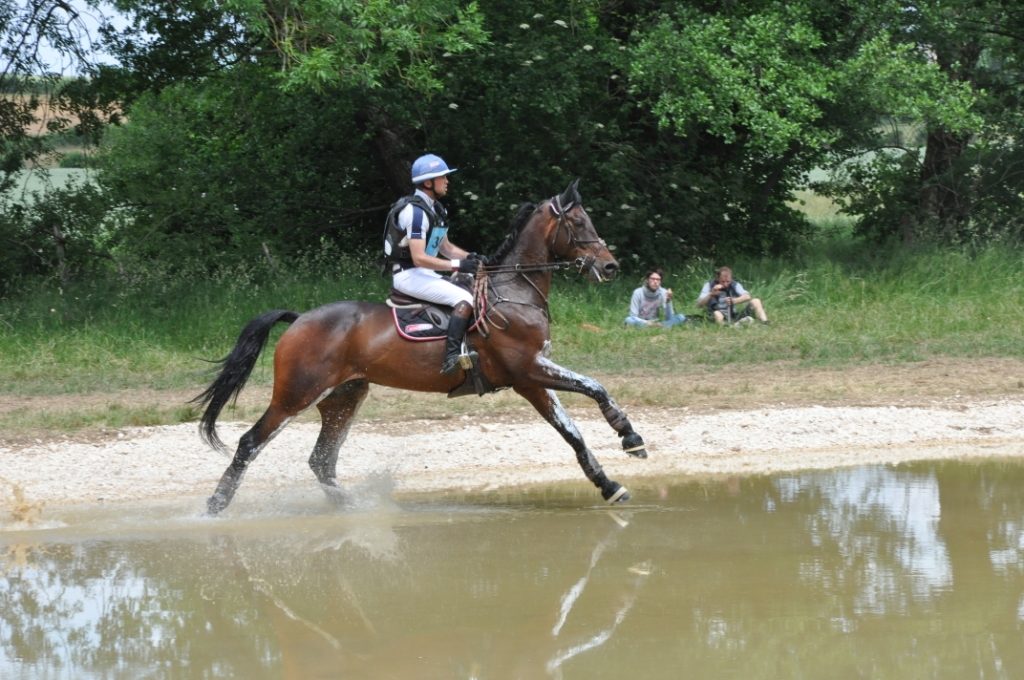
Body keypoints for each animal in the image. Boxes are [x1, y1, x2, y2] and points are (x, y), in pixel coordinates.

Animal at [193, 180, 647, 516]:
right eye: (580, 223)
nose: (610, 266)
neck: (514, 290)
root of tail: (300, 318)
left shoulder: (533, 379)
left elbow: (572, 432)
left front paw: (609, 484)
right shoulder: (529, 371)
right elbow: (594, 388)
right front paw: (630, 436)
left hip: (344, 396)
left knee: (322, 459)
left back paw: (353, 510)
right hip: (296, 395)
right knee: (250, 443)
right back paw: (215, 507)